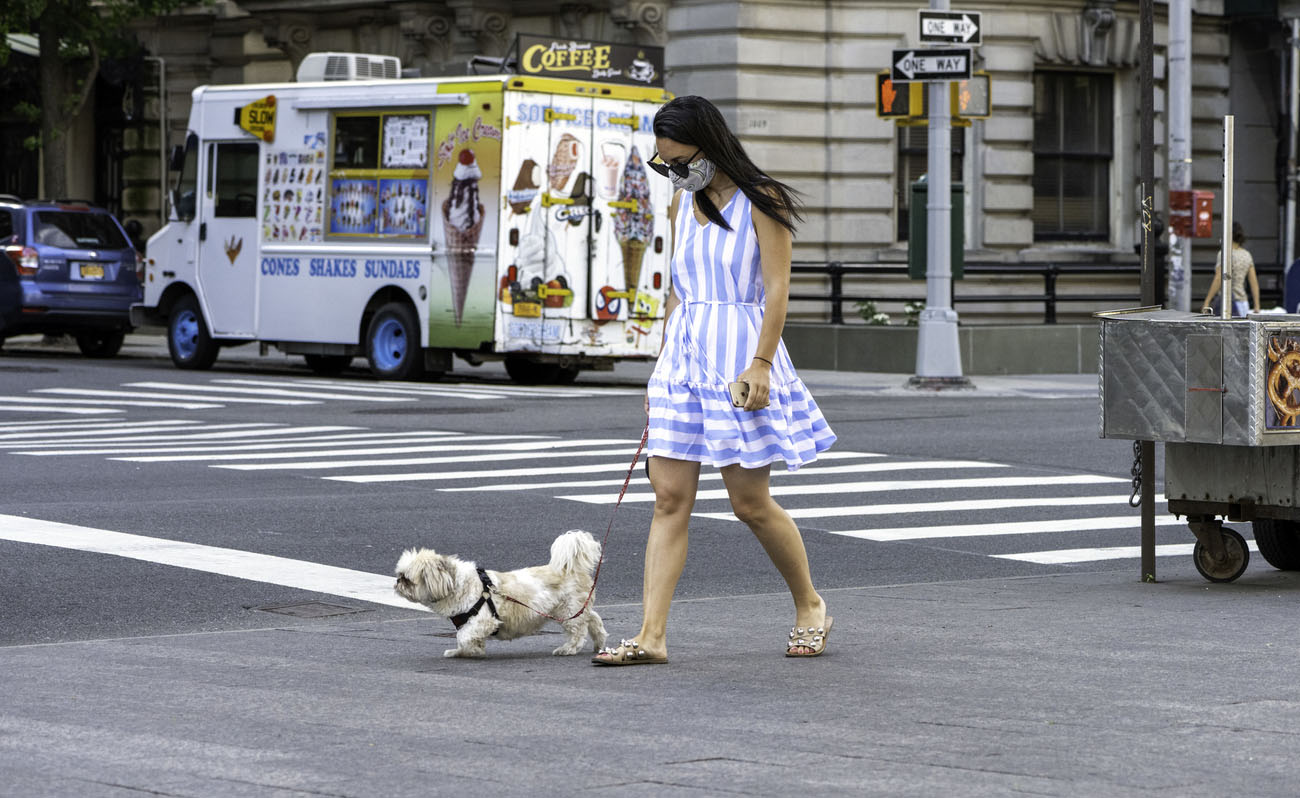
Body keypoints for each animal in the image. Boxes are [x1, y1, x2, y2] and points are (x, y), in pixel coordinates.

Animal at [392, 527, 605, 660]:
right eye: (399, 575)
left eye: (406, 578)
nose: (397, 582)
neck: (458, 585)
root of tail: (571, 568)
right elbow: (465, 640)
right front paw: (466, 652)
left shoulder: (483, 621)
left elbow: (464, 636)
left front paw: (470, 649)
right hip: (575, 608)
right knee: (593, 619)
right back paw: (599, 642)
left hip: (567, 610)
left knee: (578, 631)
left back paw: (568, 649)